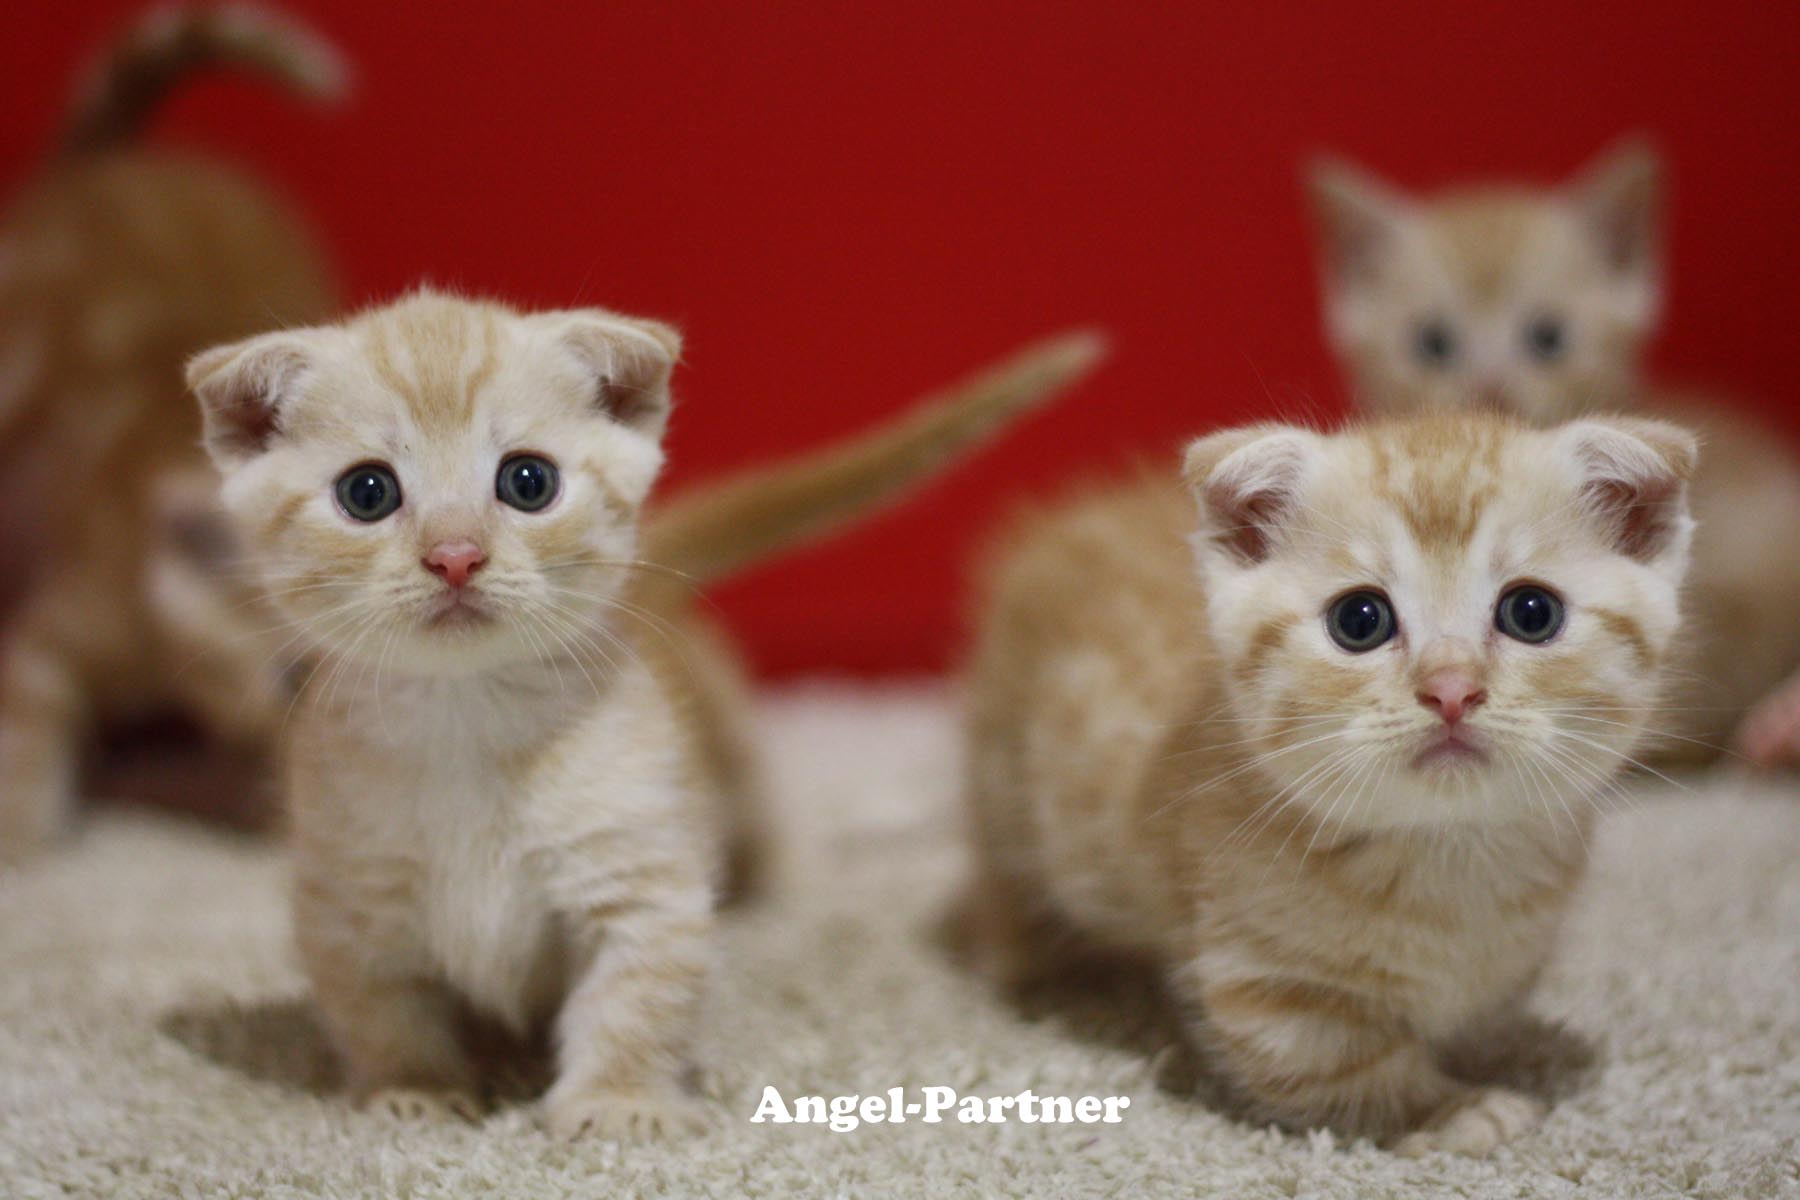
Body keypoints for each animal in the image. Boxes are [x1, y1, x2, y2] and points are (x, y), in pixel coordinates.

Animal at [964, 410, 1692, 1151]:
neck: (1449, 854)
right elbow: (1353, 1071)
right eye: (1359, 620)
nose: (1451, 689)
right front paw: (1450, 1109)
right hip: (1009, 797)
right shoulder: (1269, 988)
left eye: (1532, 613)